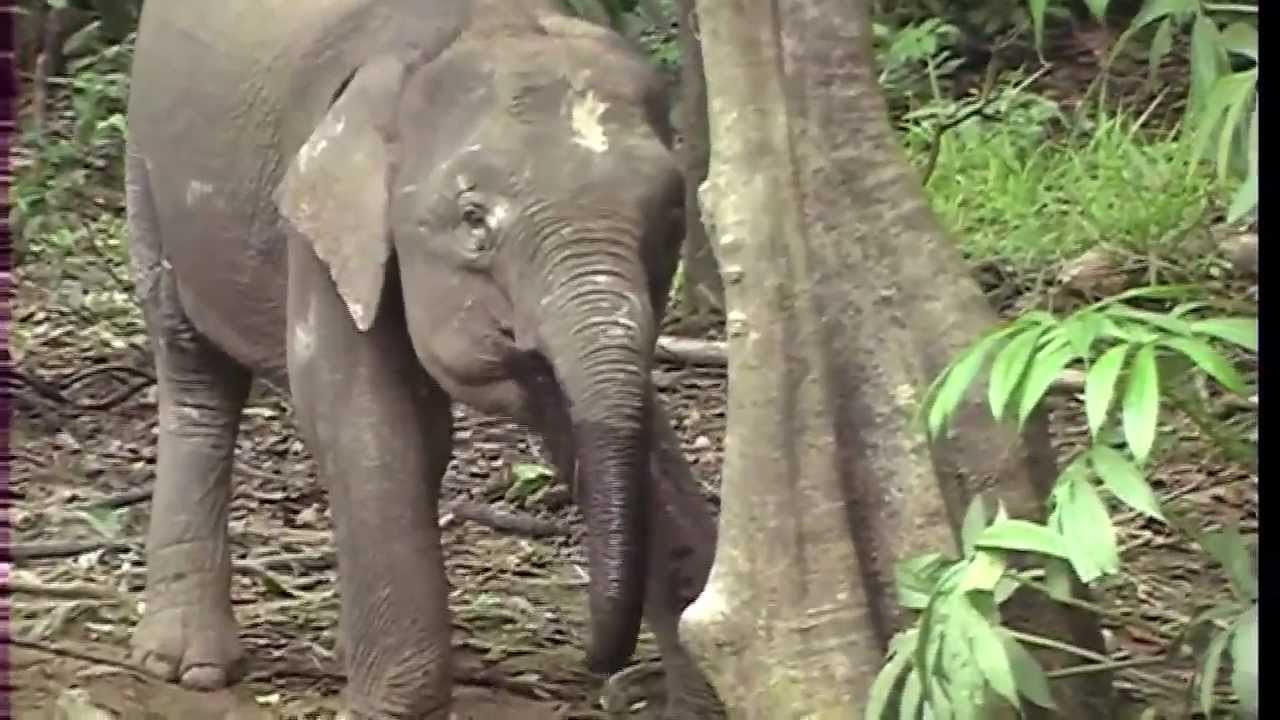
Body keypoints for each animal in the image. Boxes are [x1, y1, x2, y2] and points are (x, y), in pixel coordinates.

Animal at [122, 1, 721, 717]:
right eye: (473, 219)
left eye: (670, 216)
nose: (598, 665)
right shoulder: (322, 228)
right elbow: (362, 418)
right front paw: (394, 705)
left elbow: (625, 427)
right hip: (145, 171)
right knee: (192, 369)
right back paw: (190, 666)